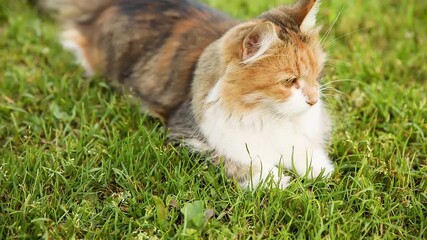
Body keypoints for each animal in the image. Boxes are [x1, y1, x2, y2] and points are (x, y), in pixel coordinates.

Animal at [39, 0, 334, 190]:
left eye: (316, 76)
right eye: (289, 81)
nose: (313, 100)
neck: (263, 114)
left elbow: (302, 150)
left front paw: (320, 168)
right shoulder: (191, 135)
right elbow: (241, 160)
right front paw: (275, 179)